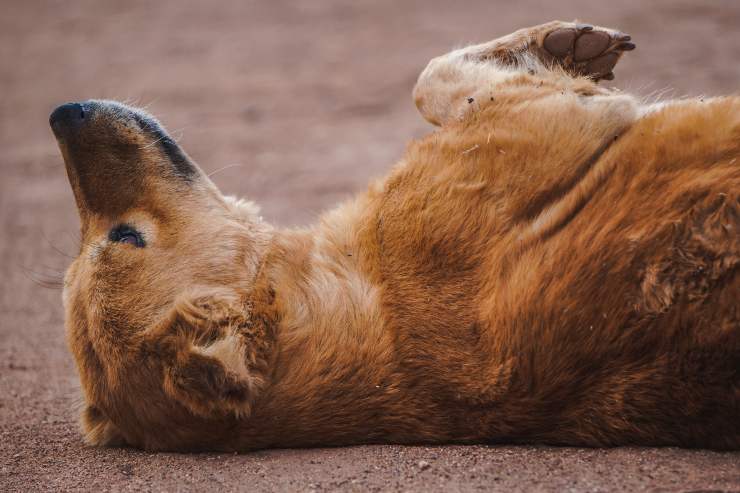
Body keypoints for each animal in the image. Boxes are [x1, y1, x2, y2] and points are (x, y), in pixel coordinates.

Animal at [49, 20, 736, 450]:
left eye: (106, 243)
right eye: (127, 236)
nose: (60, 113)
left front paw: (567, 43)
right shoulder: (539, 120)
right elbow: (436, 80)